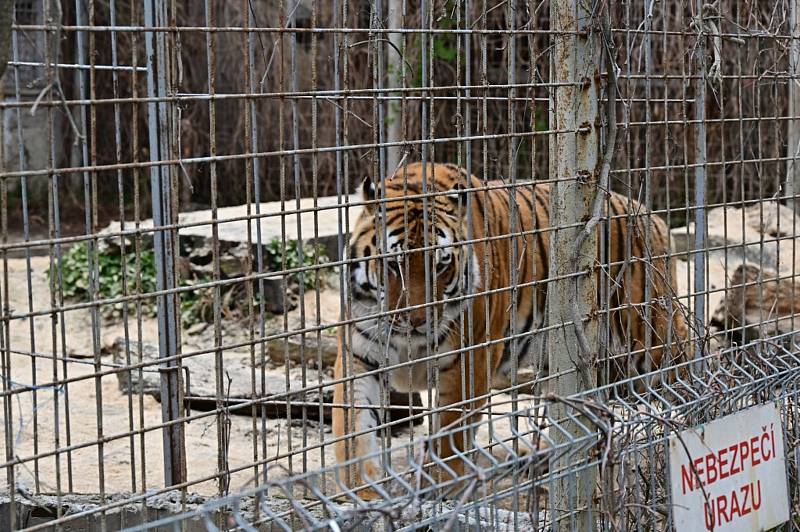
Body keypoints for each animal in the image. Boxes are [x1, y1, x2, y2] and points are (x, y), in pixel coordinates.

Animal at [332, 162, 688, 498]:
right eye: (393, 265)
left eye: (441, 264)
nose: (417, 320)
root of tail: (653, 217)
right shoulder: (359, 356)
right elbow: (353, 425)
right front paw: (359, 490)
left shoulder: (469, 360)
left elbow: (451, 432)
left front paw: (442, 487)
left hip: (650, 337)